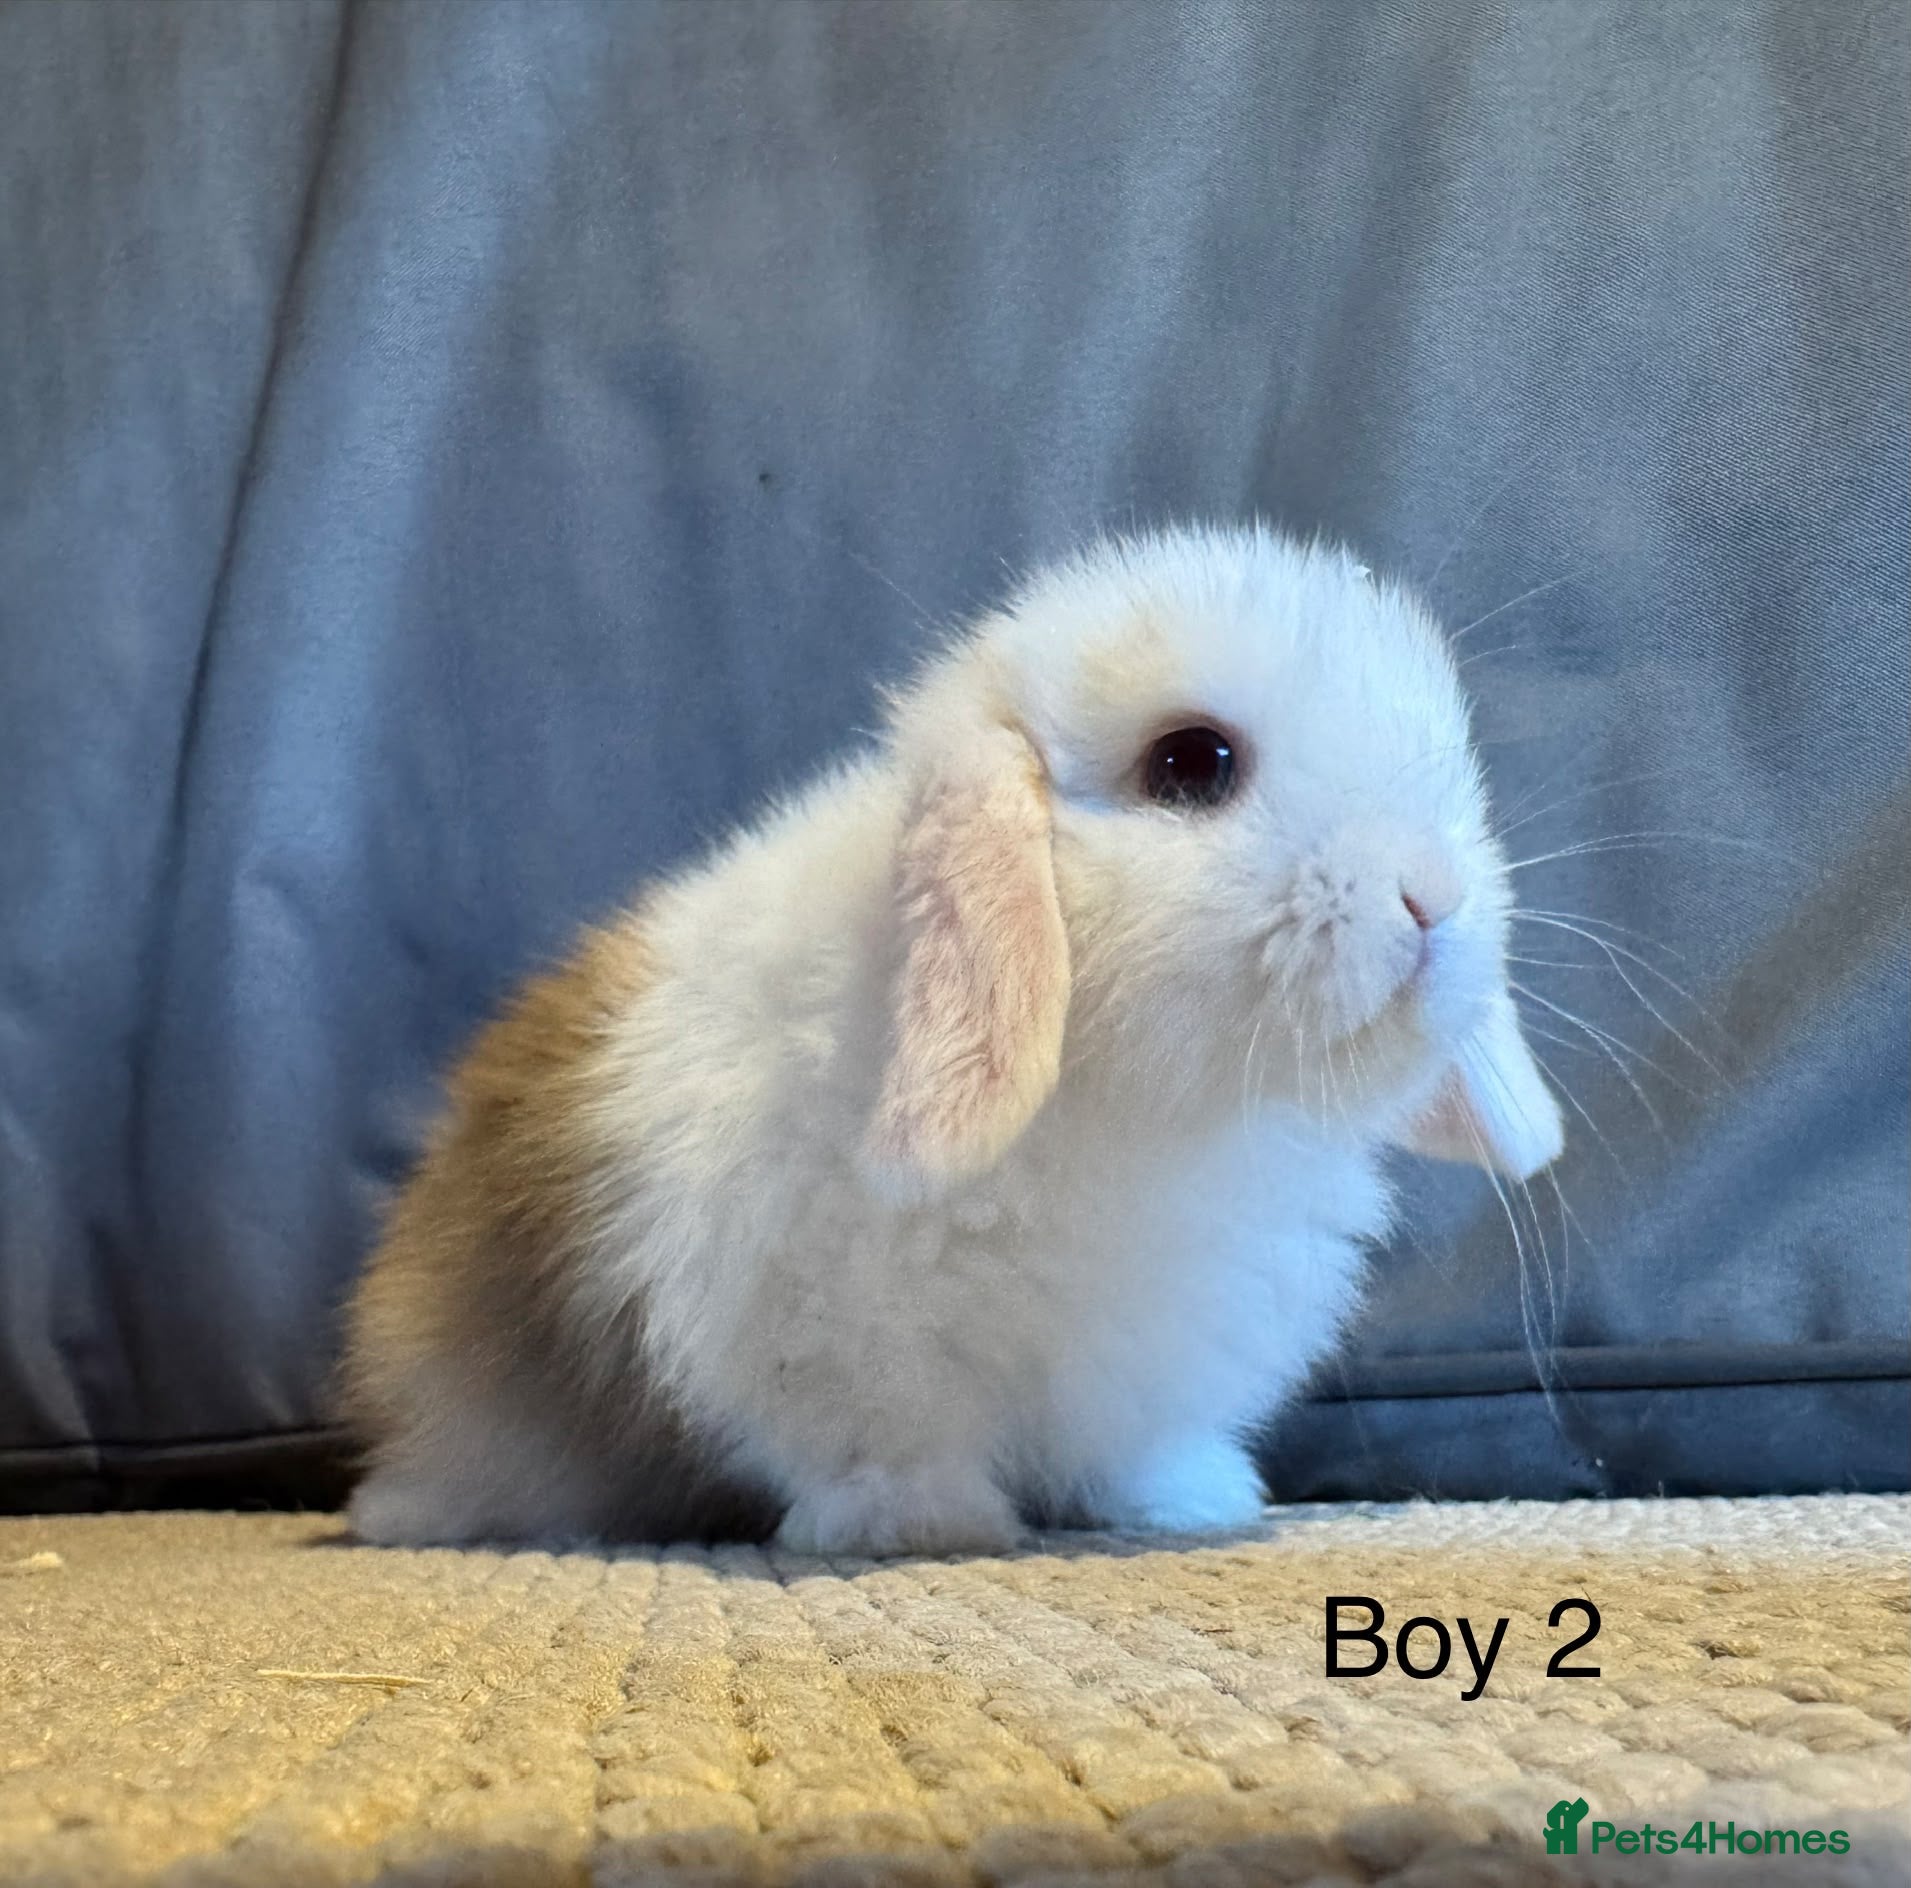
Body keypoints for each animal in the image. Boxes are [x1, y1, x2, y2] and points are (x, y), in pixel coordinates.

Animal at [339, 524, 1564, 1556]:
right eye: (1191, 762)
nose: (1432, 898)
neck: (1142, 1109)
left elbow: (1137, 1446)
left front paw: (1184, 1502)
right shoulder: (821, 1334)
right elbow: (877, 1439)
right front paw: (919, 1524)